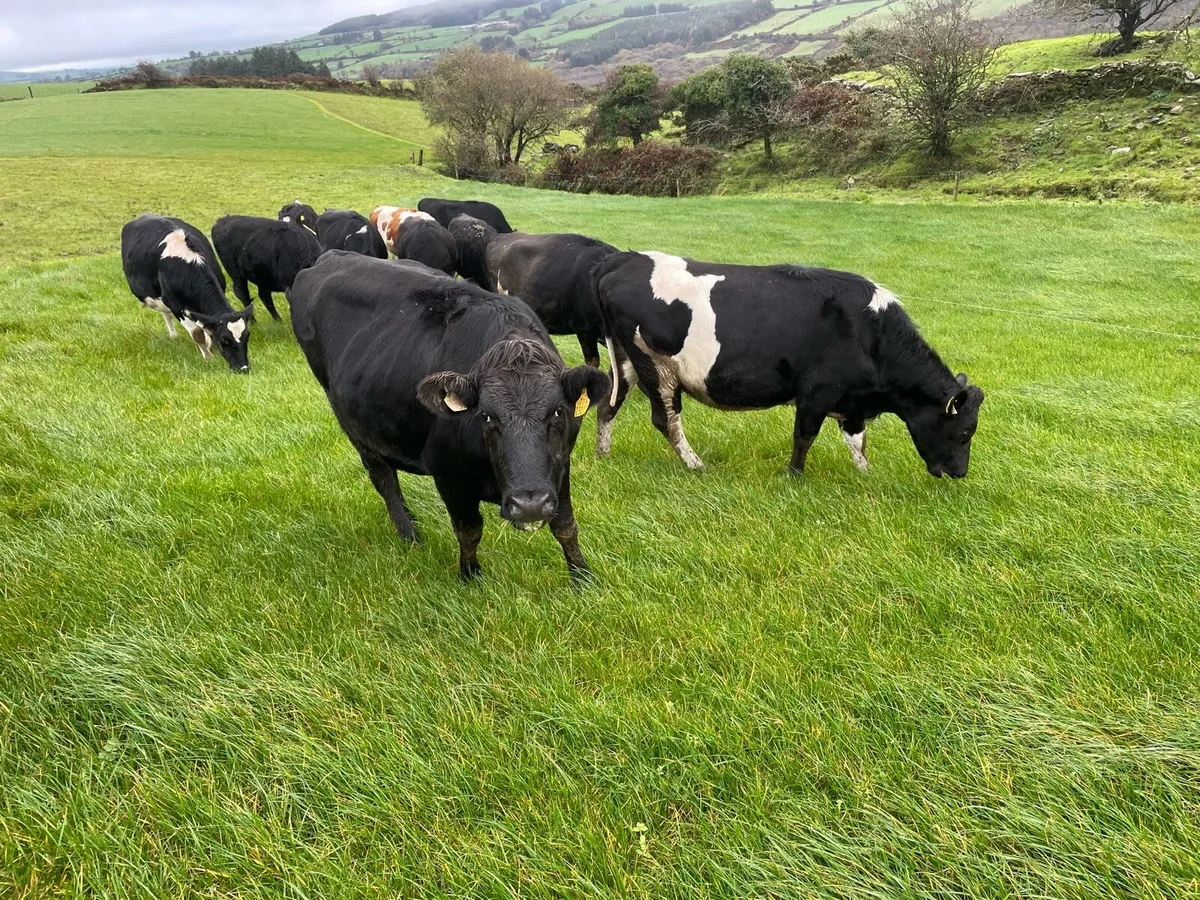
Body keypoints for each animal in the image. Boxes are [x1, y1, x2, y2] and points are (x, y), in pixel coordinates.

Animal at [120, 214, 253, 372]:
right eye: (224, 341)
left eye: (247, 337)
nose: (243, 368)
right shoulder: (175, 304)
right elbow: (196, 333)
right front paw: (208, 357)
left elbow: (205, 325)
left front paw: (209, 344)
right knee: (165, 313)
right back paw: (173, 335)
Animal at [290, 252, 610, 581]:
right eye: (486, 416)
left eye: (557, 411)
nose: (528, 505)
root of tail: (332, 256)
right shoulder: (448, 474)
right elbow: (469, 531)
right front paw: (469, 575)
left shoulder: (559, 467)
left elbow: (565, 526)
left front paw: (582, 577)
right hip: (352, 425)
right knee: (383, 478)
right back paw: (409, 534)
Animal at [594, 251, 985, 478]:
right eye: (966, 432)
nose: (960, 473)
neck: (869, 333)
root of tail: (625, 261)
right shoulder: (817, 391)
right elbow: (805, 436)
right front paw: (794, 476)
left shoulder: (851, 400)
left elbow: (857, 440)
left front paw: (866, 474)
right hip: (657, 368)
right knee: (666, 419)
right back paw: (695, 464)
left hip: (625, 362)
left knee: (607, 405)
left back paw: (603, 454)